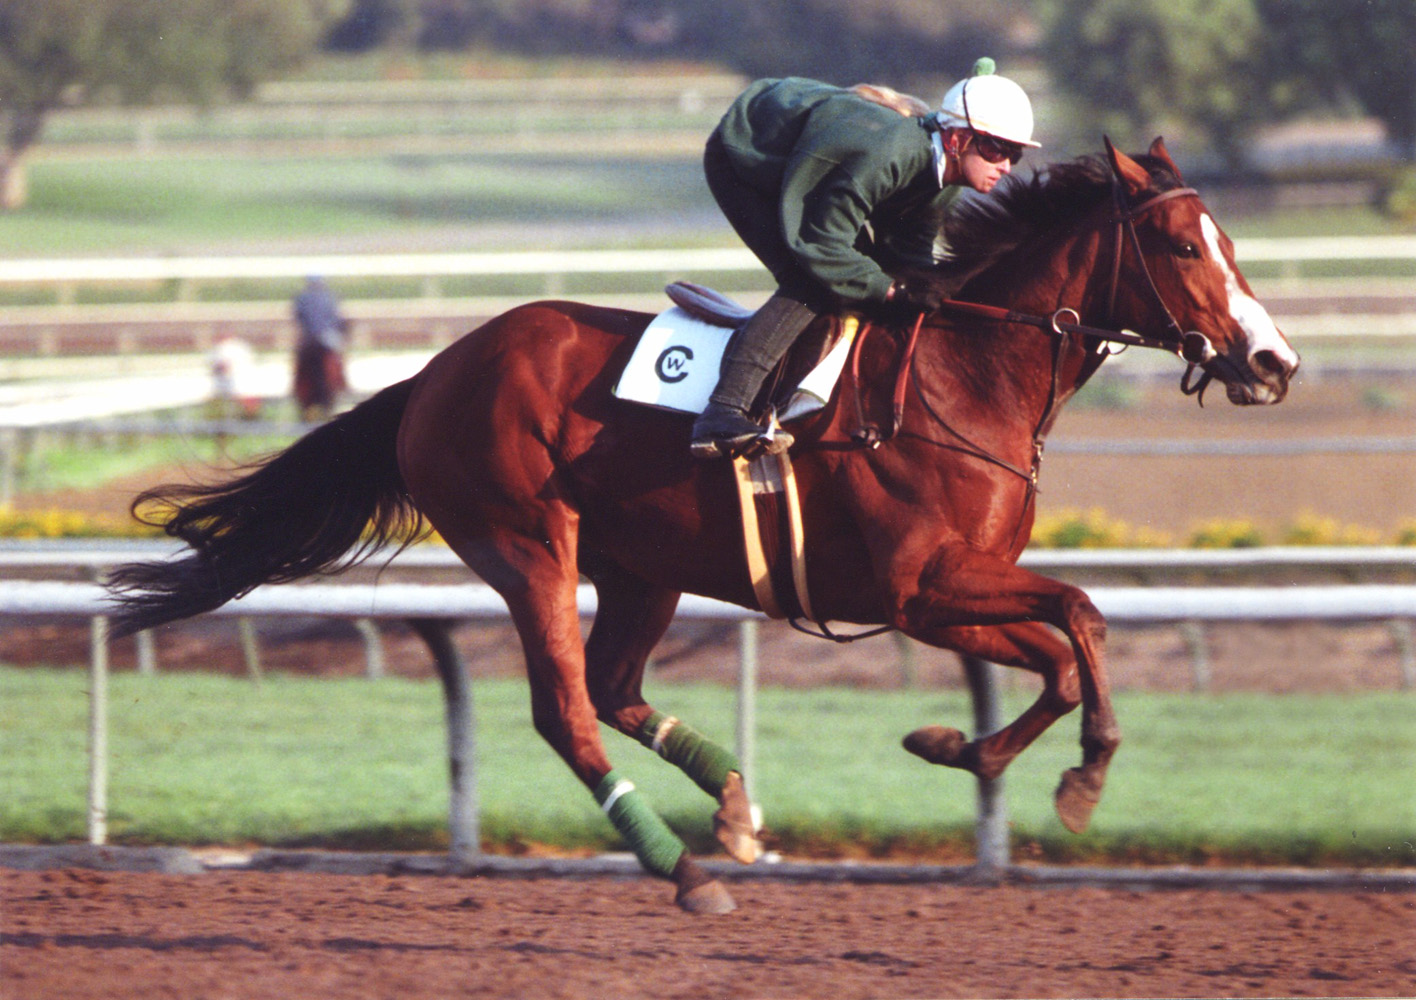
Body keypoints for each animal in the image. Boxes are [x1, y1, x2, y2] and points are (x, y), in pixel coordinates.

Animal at [107, 140, 1302, 912]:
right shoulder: (919, 587)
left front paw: (956, 746)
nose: (1274, 360)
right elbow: (1081, 615)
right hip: (530, 545)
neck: (965, 369)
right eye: (1183, 248)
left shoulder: (946, 590)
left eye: (1230, 241)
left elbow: (1057, 653)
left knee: (615, 688)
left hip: (646, 567)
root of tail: (436, 372)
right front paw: (1080, 774)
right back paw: (680, 868)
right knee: (568, 711)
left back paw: (731, 804)